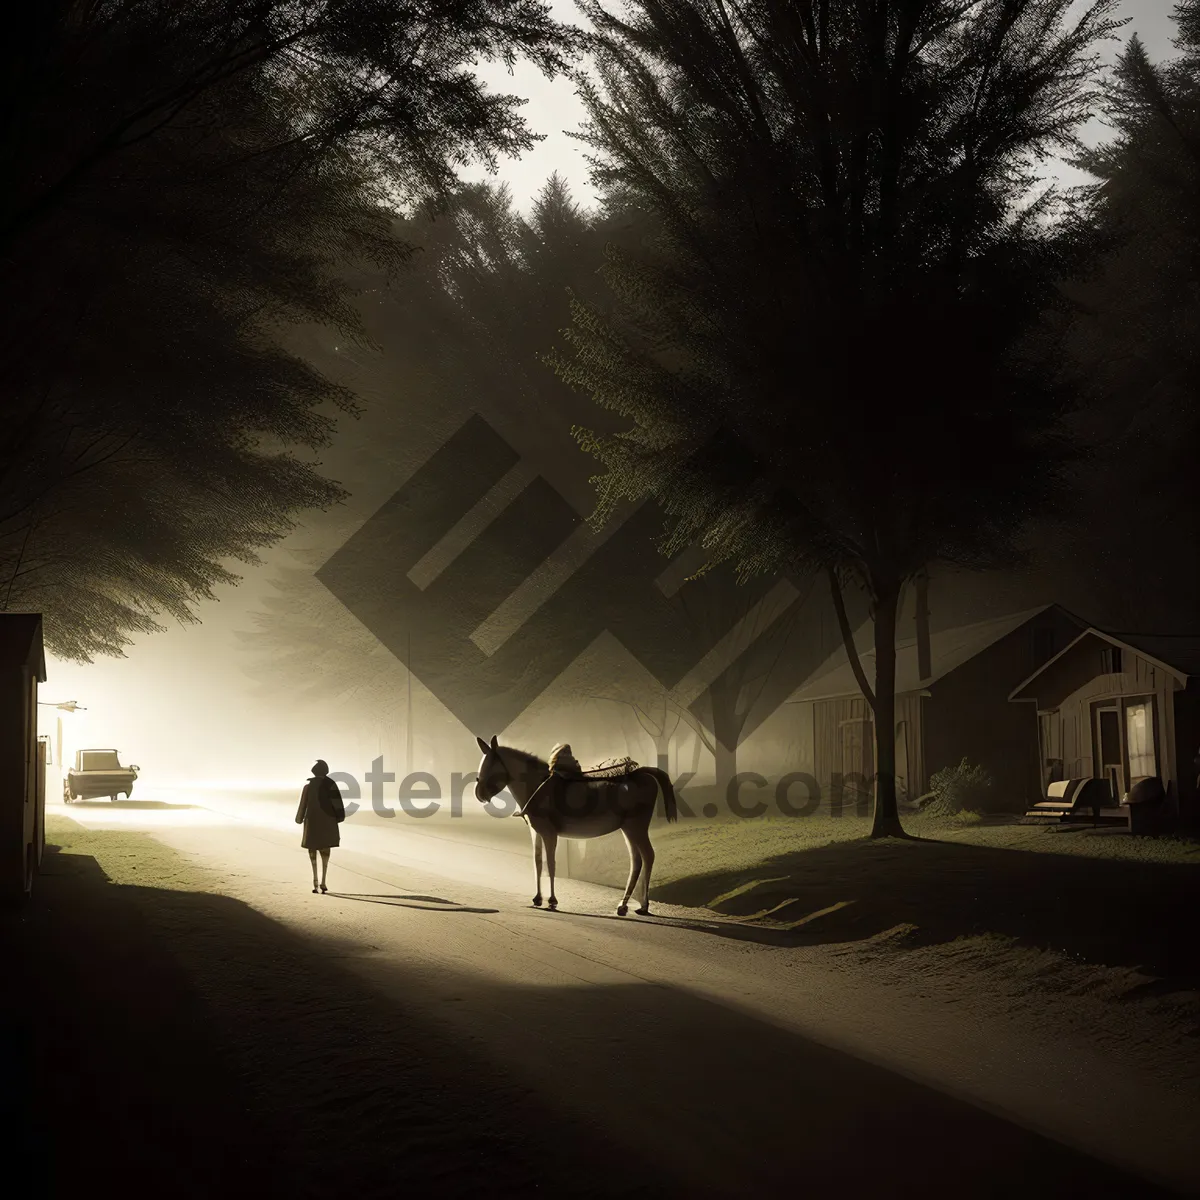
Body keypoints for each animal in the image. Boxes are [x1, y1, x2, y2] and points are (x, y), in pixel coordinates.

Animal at [475, 729, 681, 916]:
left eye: (490, 766)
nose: (479, 794)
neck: (539, 786)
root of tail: (641, 773)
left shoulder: (549, 833)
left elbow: (551, 864)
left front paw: (552, 901)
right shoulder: (536, 832)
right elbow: (538, 862)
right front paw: (537, 898)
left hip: (636, 827)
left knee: (647, 856)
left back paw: (643, 906)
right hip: (628, 828)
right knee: (637, 860)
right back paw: (624, 906)